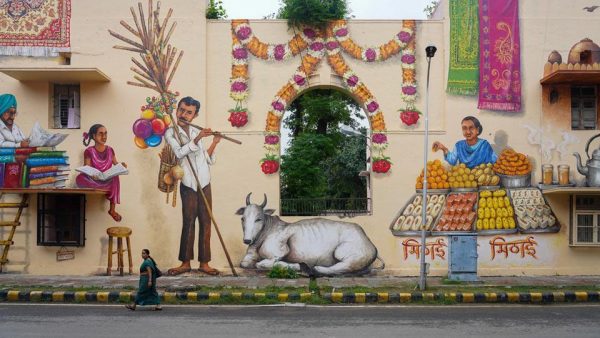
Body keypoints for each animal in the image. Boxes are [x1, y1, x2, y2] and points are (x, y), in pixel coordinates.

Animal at [236, 194, 382, 276]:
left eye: (258, 219)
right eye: (242, 218)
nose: (247, 240)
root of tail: (369, 242)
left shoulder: (276, 254)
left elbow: (262, 264)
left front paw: (297, 266)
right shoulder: (249, 257)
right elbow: (244, 263)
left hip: (349, 254)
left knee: (344, 267)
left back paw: (314, 268)